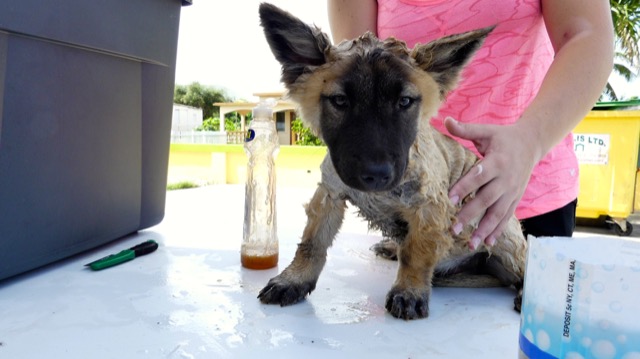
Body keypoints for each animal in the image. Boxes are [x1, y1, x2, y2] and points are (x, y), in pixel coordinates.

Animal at [255, 3, 524, 320]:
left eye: (405, 102)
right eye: (340, 101)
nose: (376, 174)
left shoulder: (429, 207)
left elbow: (416, 254)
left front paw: (409, 291)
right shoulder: (330, 193)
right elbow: (312, 243)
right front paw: (294, 279)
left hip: (503, 238)